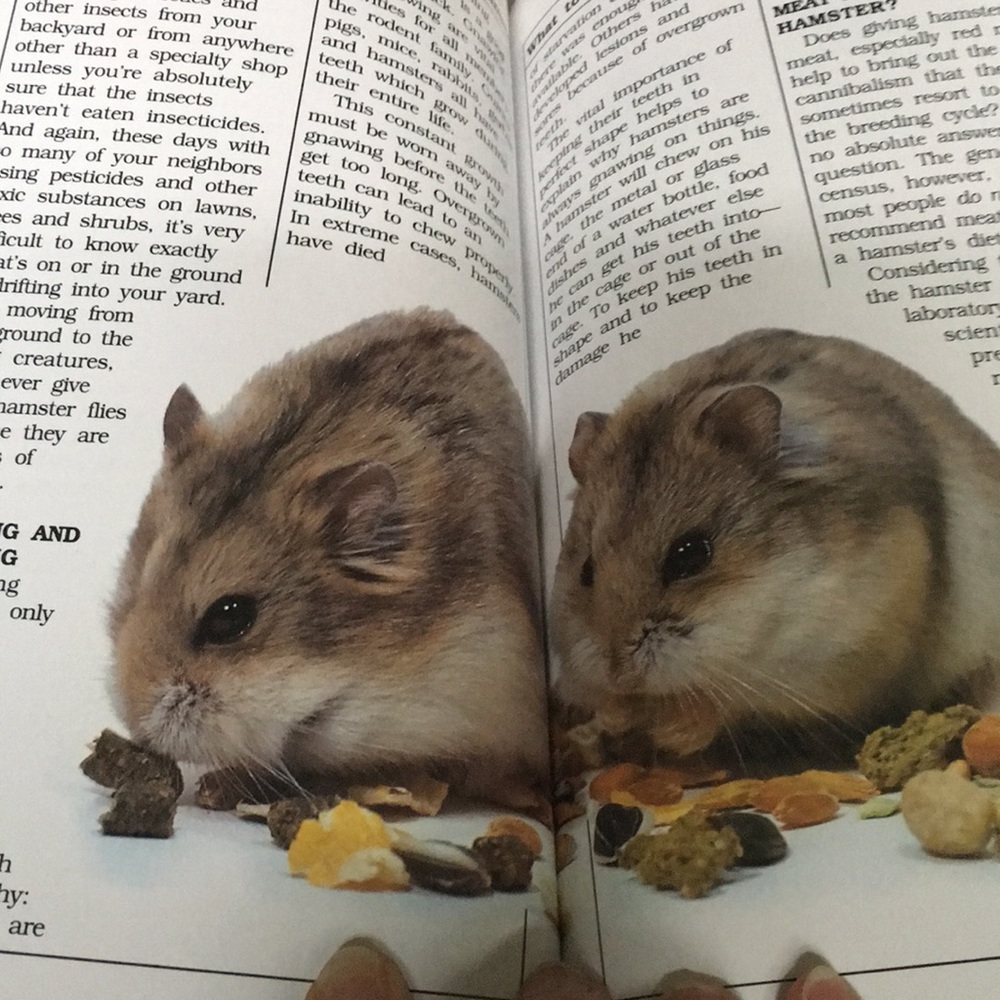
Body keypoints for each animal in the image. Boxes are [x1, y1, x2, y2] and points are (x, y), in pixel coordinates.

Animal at [552, 328, 1000, 762]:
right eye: (586, 569)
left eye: (692, 554)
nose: (619, 673)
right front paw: (615, 715)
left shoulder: (839, 654)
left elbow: (724, 705)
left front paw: (675, 733)